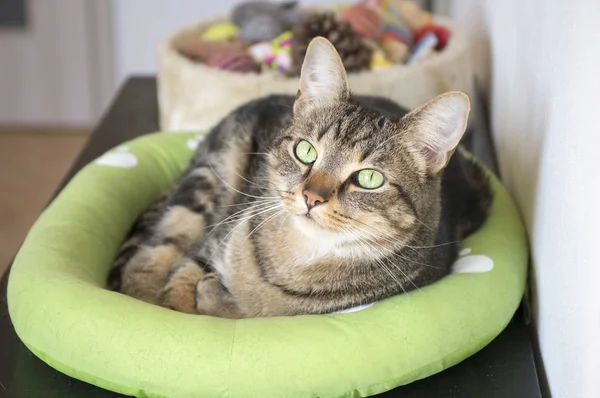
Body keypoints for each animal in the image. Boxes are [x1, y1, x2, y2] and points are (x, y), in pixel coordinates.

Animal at [108, 36, 492, 318]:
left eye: (369, 179)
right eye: (306, 151)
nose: (311, 197)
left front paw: (218, 299)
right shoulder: (212, 241)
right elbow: (182, 280)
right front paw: (176, 306)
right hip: (207, 183)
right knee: (147, 258)